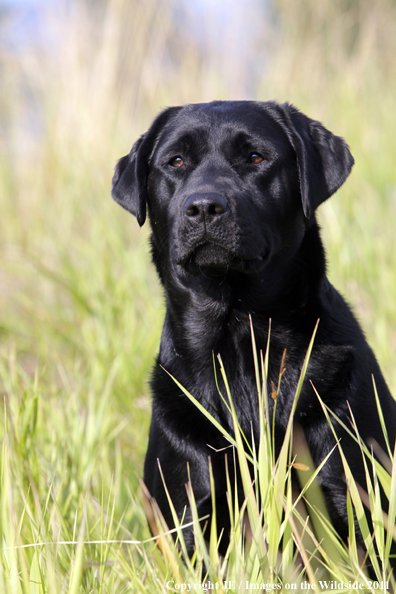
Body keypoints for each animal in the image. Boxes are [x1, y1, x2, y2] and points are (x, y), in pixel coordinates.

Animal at [112, 99, 396, 560]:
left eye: (256, 157)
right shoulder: (190, 518)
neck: (238, 340)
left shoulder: (356, 503)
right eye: (176, 161)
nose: (204, 206)